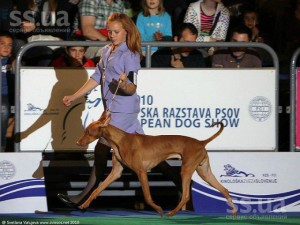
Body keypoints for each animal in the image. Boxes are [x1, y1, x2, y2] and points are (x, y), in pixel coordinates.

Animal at [77, 110, 237, 216]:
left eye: (88, 132)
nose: (78, 142)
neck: (119, 140)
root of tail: (201, 142)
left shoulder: (141, 171)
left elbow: (147, 197)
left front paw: (159, 209)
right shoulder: (116, 173)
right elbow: (96, 190)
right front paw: (84, 204)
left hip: (186, 170)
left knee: (185, 195)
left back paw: (171, 213)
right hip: (204, 172)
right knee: (224, 190)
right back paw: (234, 213)